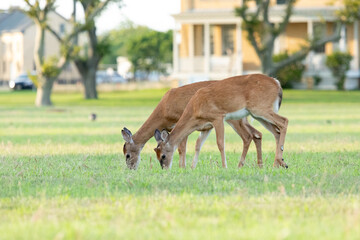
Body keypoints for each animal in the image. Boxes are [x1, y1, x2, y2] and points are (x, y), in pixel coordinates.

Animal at [121, 79, 262, 170]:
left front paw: (181, 167)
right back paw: (259, 165)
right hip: (243, 119)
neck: (164, 111)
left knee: (247, 136)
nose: (131, 168)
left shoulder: (180, 121)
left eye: (127, 155)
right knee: (257, 133)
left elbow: (181, 148)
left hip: (234, 119)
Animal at [153, 74, 288, 170]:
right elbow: (198, 144)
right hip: (258, 114)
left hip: (260, 109)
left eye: (163, 155)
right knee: (276, 131)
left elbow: (220, 143)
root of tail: (277, 83)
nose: (164, 169)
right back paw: (277, 164)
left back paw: (278, 161)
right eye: (156, 154)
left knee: (284, 121)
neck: (195, 108)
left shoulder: (217, 117)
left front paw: (224, 166)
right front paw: (192, 167)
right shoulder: (206, 125)